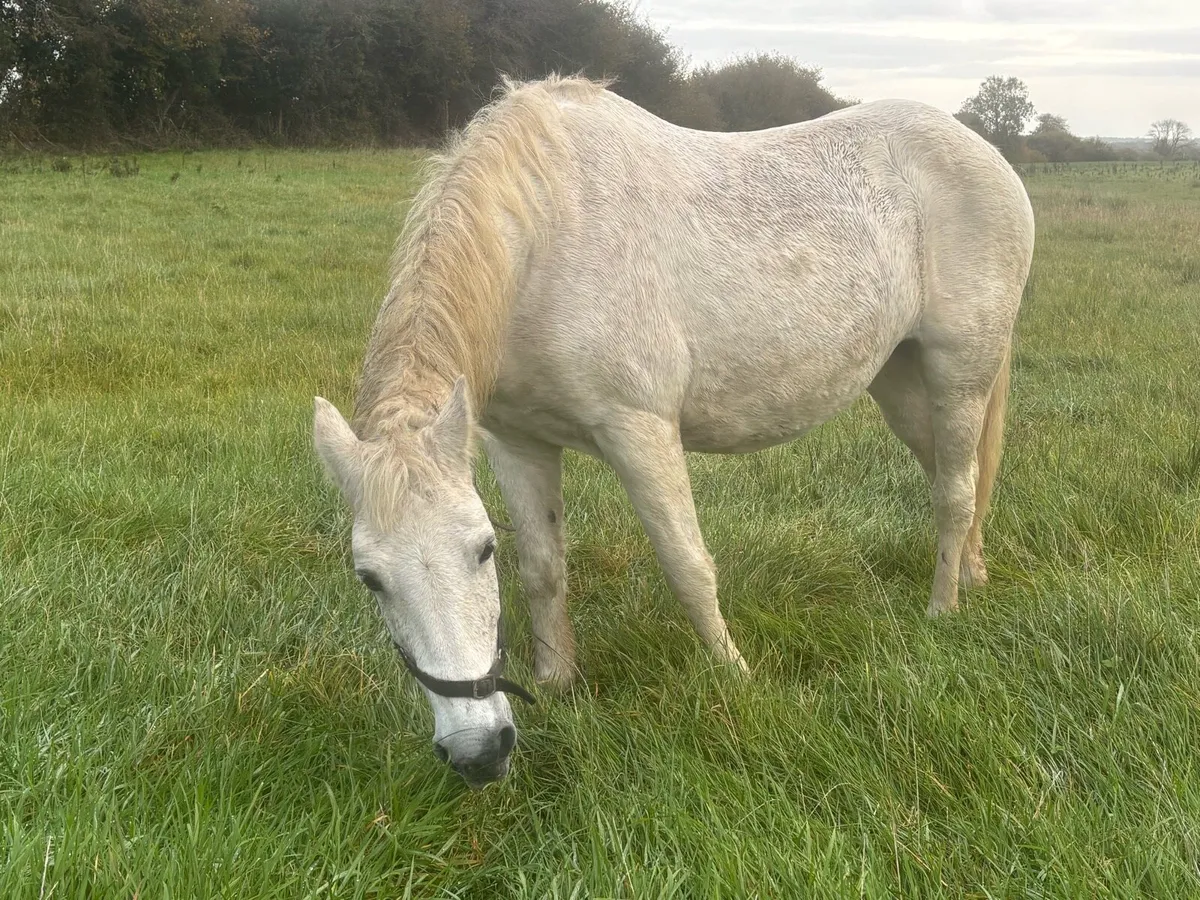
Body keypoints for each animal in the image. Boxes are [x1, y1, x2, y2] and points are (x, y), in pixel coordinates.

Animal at [312, 75, 1035, 788]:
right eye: (370, 578)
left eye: (481, 551)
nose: (479, 752)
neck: (542, 240)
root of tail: (987, 154)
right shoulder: (516, 442)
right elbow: (545, 568)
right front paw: (557, 683)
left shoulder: (638, 430)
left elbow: (687, 564)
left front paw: (735, 676)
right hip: (900, 380)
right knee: (954, 475)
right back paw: (971, 575)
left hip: (959, 372)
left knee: (955, 492)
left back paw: (942, 610)